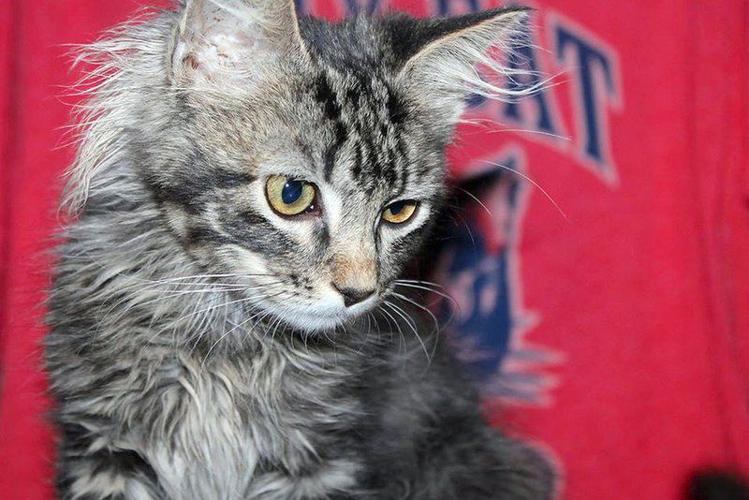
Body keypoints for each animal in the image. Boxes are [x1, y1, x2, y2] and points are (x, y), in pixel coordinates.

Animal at [43, 1, 552, 498]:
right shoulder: (104, 444)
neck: (228, 344)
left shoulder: (320, 457)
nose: (358, 292)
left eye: (398, 211)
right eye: (291, 194)